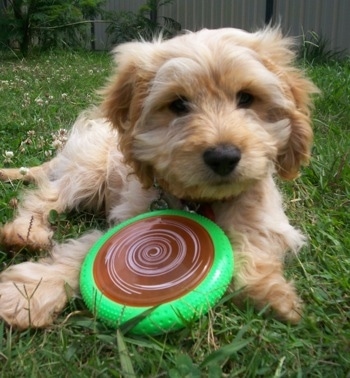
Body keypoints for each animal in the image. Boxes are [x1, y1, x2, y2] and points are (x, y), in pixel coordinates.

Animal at [0, 27, 318, 328]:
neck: (201, 199)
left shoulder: (268, 218)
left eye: (246, 98)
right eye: (178, 104)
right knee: (46, 196)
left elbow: (253, 241)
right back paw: (25, 233)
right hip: (87, 170)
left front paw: (272, 294)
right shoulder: (130, 215)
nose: (223, 157)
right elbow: (83, 249)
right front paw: (27, 294)